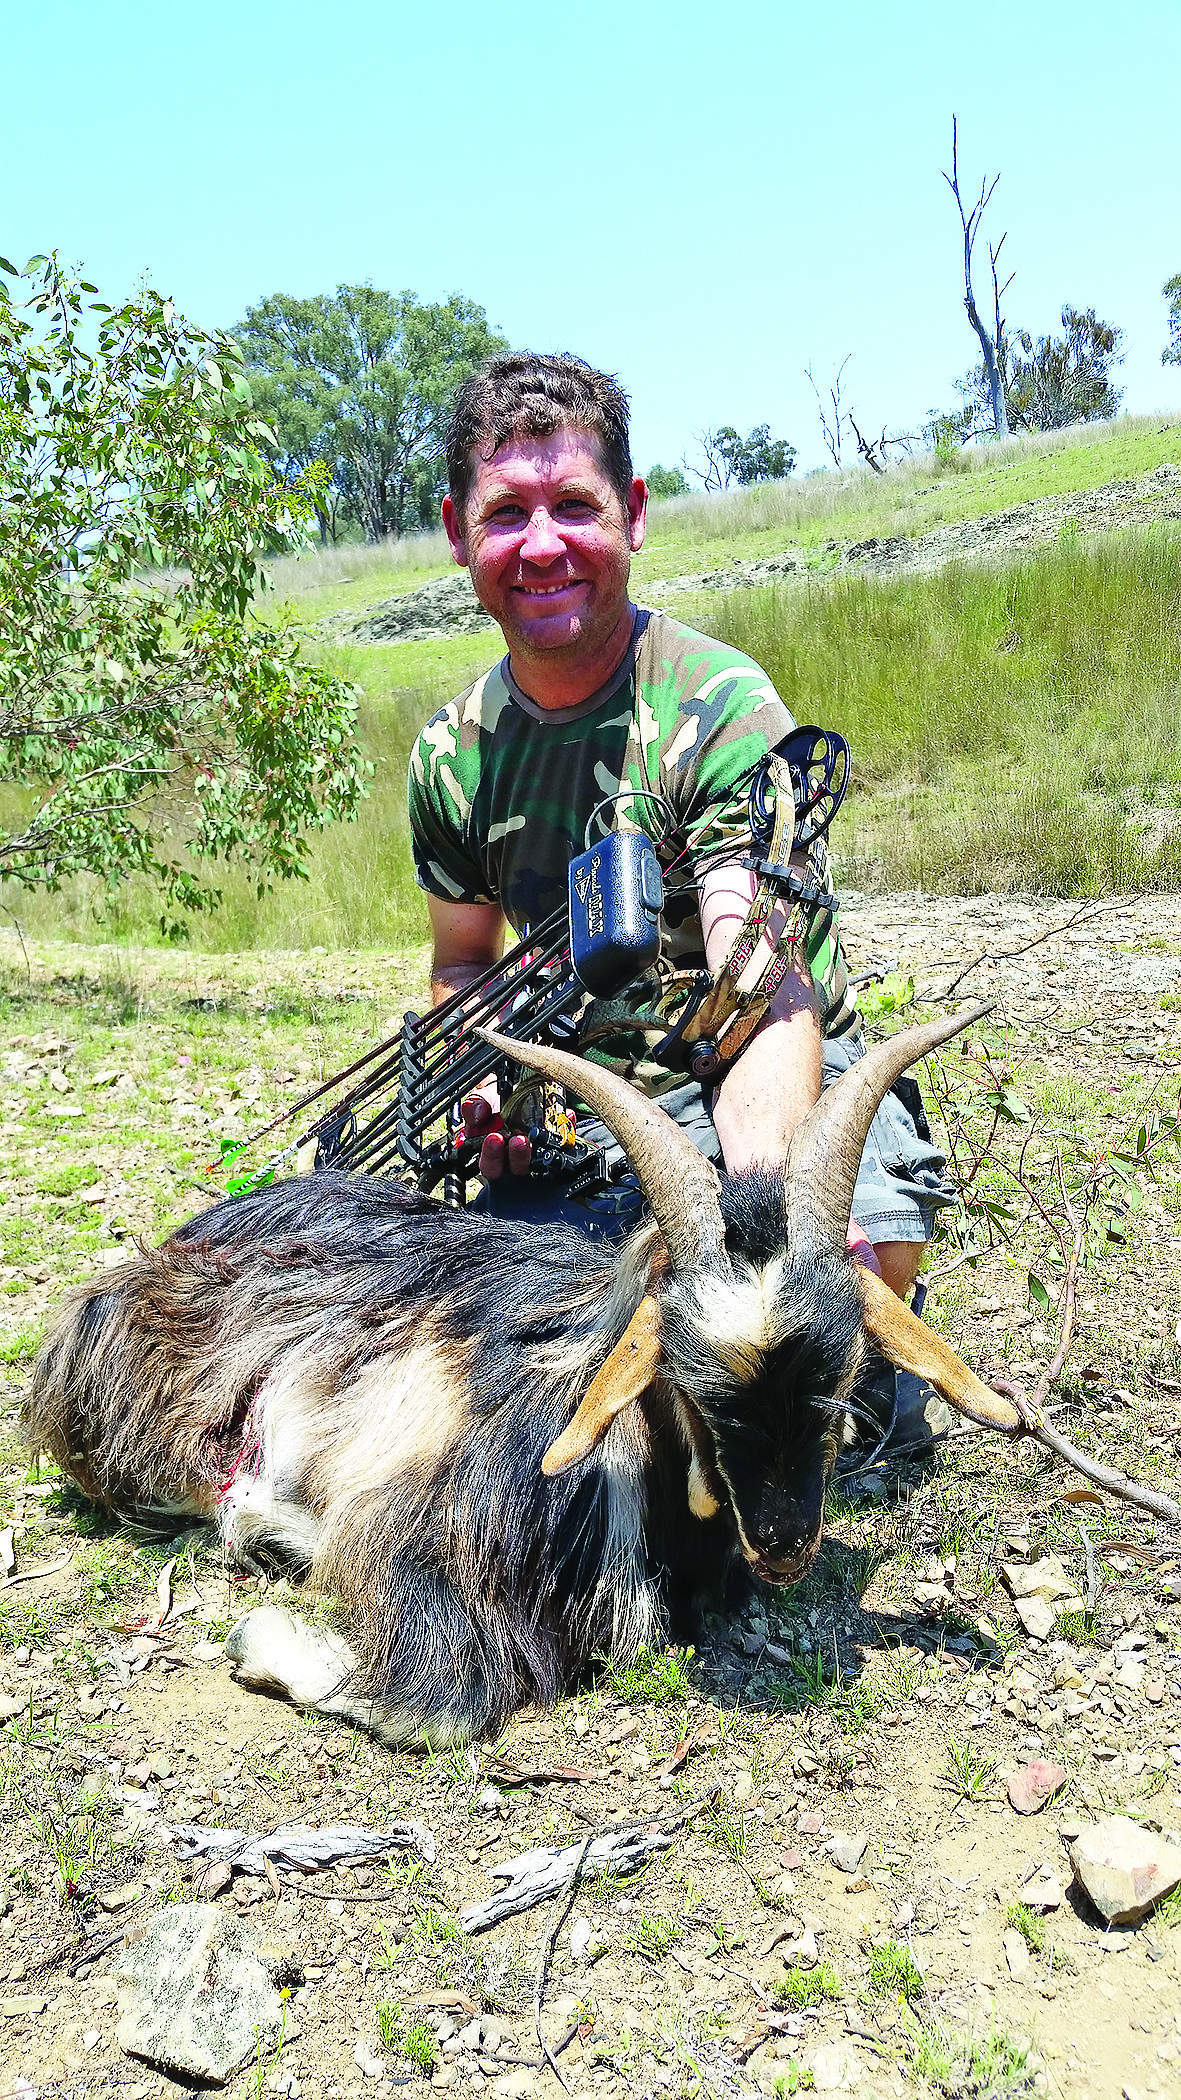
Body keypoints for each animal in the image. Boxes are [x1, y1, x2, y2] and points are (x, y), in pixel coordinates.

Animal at [25, 1007, 1000, 1747]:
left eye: (841, 1374)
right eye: (690, 1380)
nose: (785, 1544)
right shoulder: (411, 1536)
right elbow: (438, 1708)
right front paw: (260, 1628)